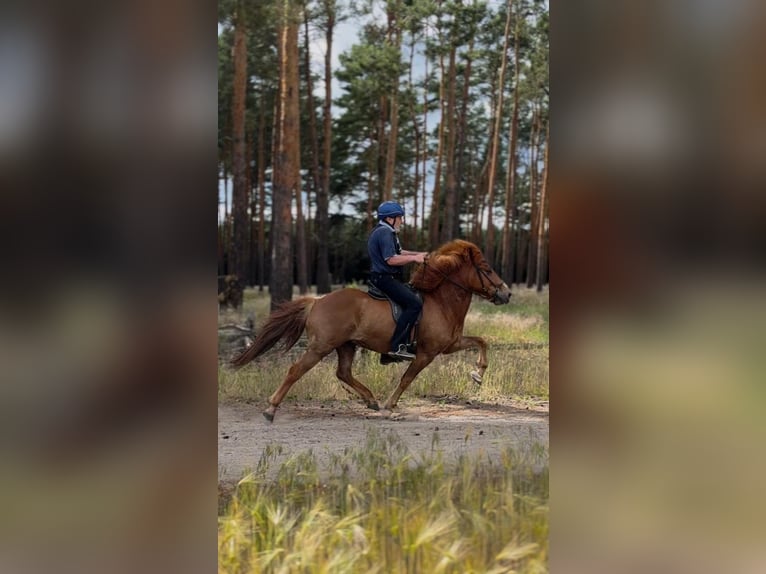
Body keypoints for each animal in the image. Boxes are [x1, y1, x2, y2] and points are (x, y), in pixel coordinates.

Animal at [230, 239, 512, 422]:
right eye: (487, 270)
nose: (506, 293)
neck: (441, 302)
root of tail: (317, 301)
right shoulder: (426, 353)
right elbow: (407, 379)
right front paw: (390, 406)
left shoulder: (450, 345)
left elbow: (481, 341)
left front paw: (478, 374)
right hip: (321, 346)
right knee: (296, 371)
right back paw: (270, 409)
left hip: (346, 345)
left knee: (343, 373)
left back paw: (370, 400)